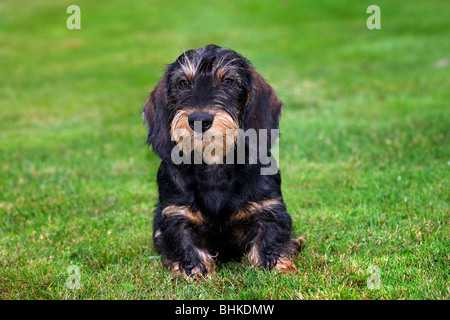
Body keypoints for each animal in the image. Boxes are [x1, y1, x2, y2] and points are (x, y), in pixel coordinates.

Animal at [142, 43, 304, 278]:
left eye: (228, 81)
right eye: (183, 83)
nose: (199, 120)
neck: (214, 164)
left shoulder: (269, 206)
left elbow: (270, 236)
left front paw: (276, 265)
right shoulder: (175, 214)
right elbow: (184, 244)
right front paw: (193, 271)